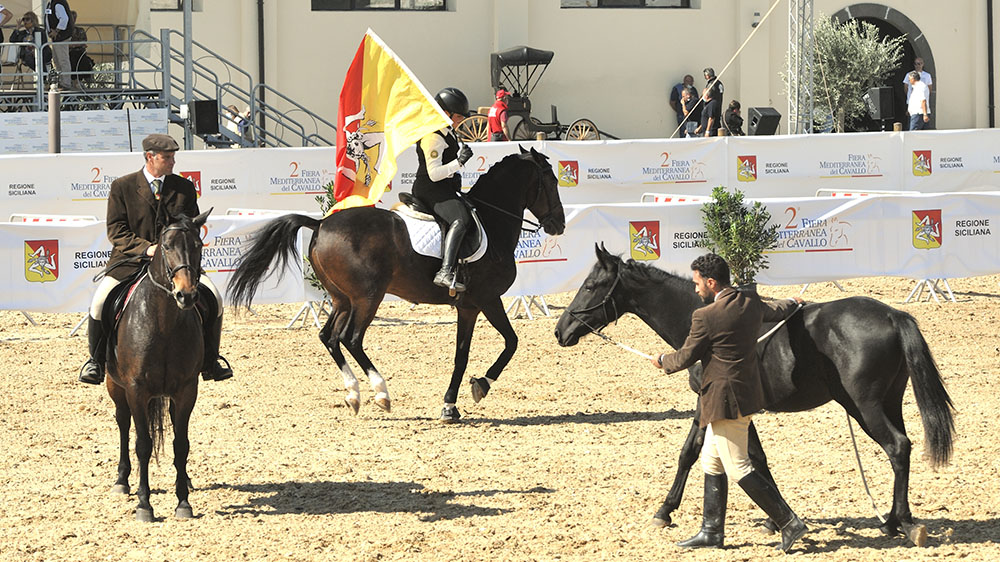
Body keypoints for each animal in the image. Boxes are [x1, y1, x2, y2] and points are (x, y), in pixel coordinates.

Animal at [105, 210, 211, 522]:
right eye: (166, 246)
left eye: (198, 246)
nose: (187, 295)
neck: (163, 322)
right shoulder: (136, 390)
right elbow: (143, 444)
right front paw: (144, 505)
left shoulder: (187, 390)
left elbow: (181, 444)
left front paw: (183, 502)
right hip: (116, 386)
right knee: (123, 422)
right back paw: (121, 481)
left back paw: (185, 479)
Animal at [228, 147, 565, 422]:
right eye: (550, 181)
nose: (558, 224)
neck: (492, 223)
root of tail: (321, 223)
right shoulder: (488, 299)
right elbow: (511, 343)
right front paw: (481, 385)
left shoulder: (468, 306)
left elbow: (462, 355)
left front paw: (450, 406)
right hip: (367, 297)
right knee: (350, 339)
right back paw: (381, 394)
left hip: (342, 299)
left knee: (329, 337)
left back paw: (353, 395)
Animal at [553, 244, 954, 545]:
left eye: (591, 285)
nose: (561, 331)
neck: (697, 312)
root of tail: (891, 315)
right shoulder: (739, 410)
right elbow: (757, 459)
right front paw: (777, 520)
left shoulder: (707, 403)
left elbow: (689, 453)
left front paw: (663, 511)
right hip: (889, 402)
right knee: (903, 449)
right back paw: (898, 519)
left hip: (865, 407)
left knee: (897, 447)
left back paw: (895, 522)